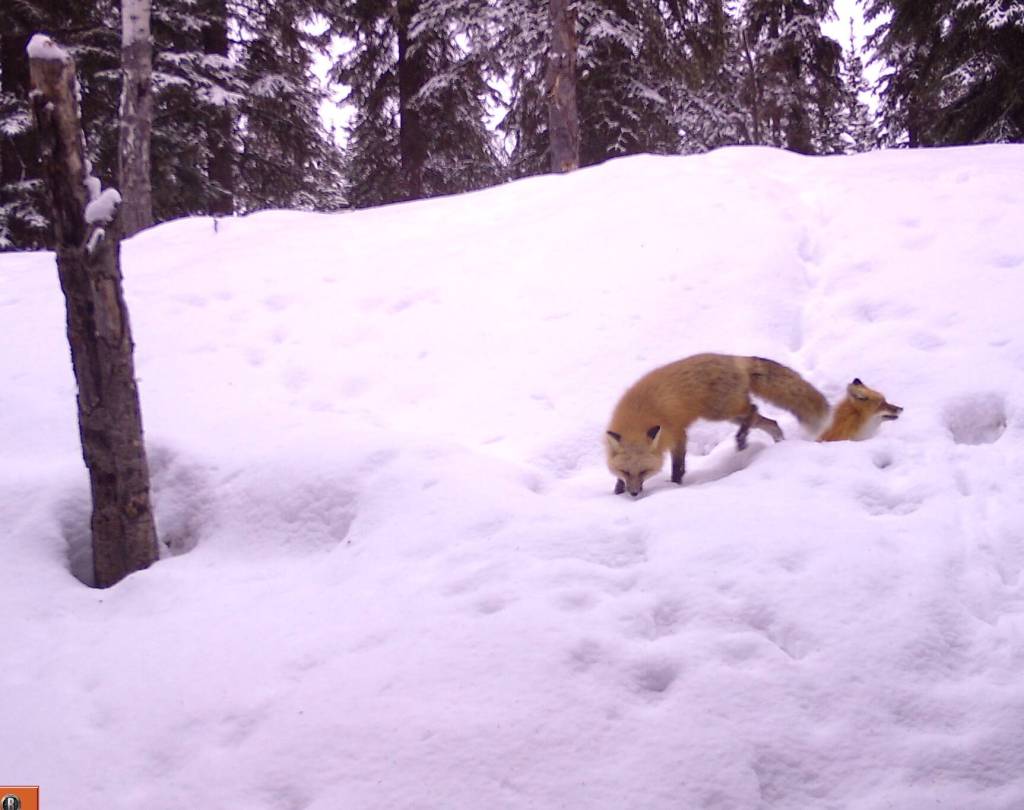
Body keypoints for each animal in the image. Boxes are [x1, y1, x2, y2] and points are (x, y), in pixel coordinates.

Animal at [605, 353, 830, 496]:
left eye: (644, 472)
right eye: (626, 472)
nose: (634, 494)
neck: (638, 416)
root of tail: (737, 359)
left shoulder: (678, 433)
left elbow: (678, 466)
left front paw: (675, 486)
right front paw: (617, 490)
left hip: (722, 411)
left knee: (753, 409)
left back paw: (741, 439)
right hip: (729, 414)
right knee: (769, 421)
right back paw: (778, 441)